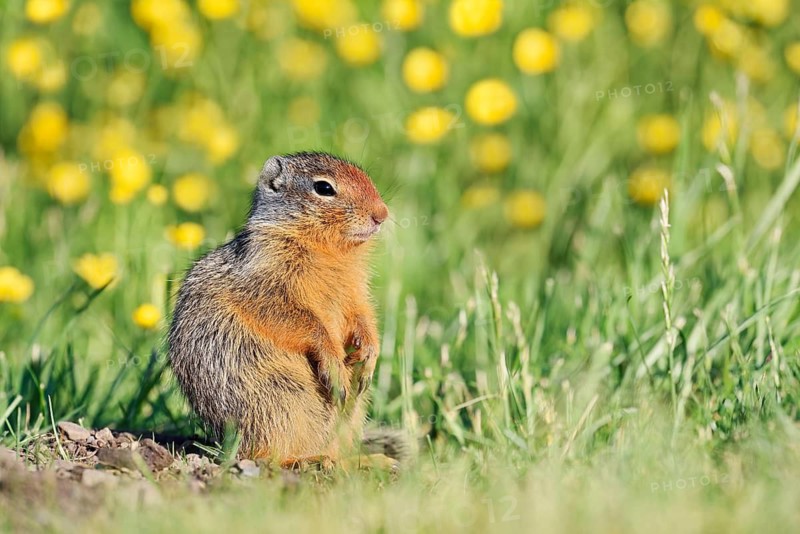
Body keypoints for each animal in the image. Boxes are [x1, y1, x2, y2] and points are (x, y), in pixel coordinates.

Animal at [168, 152, 410, 468]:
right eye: (324, 188)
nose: (381, 214)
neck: (330, 252)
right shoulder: (268, 288)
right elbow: (303, 323)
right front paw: (335, 367)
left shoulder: (356, 291)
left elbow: (363, 316)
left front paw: (369, 354)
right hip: (279, 403)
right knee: (264, 455)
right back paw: (311, 460)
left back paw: (370, 460)